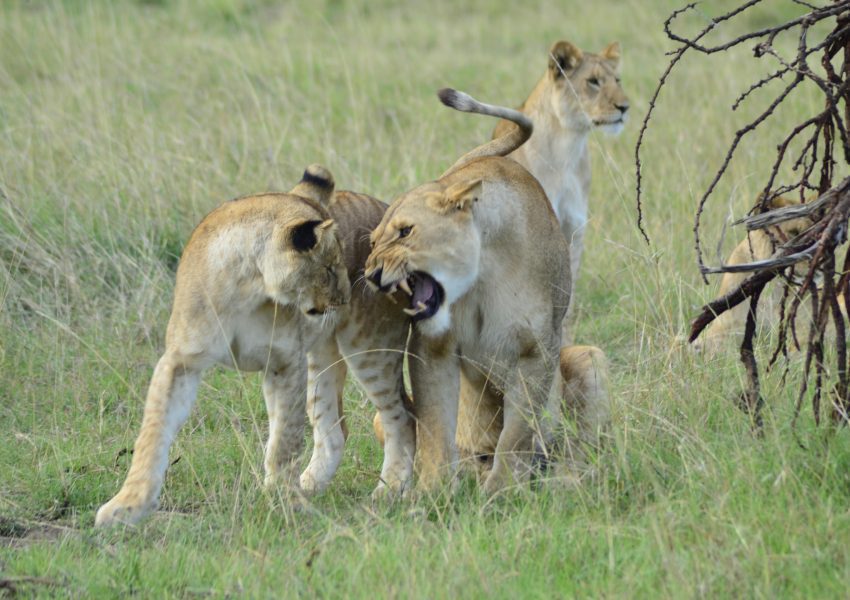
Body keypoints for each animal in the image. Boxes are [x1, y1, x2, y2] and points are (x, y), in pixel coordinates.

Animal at [96, 166, 416, 527]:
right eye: (330, 268)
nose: (346, 298)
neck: (247, 286)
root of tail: (389, 209)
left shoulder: (285, 362)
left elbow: (284, 441)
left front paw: (286, 502)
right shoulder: (180, 361)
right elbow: (152, 434)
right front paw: (126, 506)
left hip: (370, 347)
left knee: (402, 418)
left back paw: (388, 491)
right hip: (321, 356)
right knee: (334, 431)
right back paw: (310, 484)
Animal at [365, 88, 574, 494]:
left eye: (405, 232)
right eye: (372, 241)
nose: (369, 274)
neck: (482, 276)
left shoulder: (538, 349)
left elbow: (517, 431)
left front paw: (501, 490)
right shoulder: (432, 346)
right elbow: (435, 424)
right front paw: (434, 491)